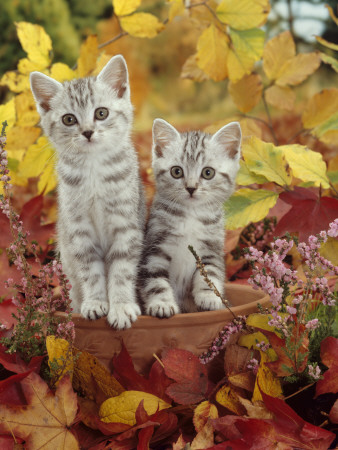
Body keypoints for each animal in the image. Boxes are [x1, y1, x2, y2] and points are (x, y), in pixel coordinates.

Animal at [29, 57, 144, 330]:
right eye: (69, 119)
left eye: (101, 113)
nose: (88, 132)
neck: (93, 171)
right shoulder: (78, 228)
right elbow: (90, 270)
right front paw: (95, 302)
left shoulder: (126, 226)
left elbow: (122, 270)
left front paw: (121, 306)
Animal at [139, 118, 240, 318]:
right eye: (176, 171)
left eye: (208, 172)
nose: (191, 188)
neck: (191, 216)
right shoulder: (154, 248)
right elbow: (155, 280)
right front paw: (162, 303)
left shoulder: (212, 248)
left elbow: (210, 272)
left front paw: (209, 297)